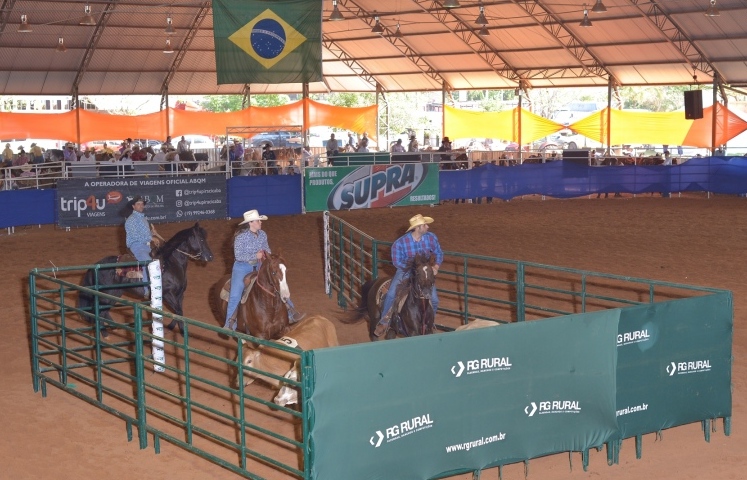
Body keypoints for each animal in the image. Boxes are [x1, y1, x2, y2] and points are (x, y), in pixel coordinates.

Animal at [78, 223, 213, 336]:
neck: (171, 264)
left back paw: (113, 328)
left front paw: (171, 327)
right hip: (106, 294)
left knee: (104, 311)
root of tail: (95, 266)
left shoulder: (180, 294)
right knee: (100, 312)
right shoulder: (168, 294)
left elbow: (178, 312)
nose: (210, 257)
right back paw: (105, 334)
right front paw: (182, 331)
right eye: (201, 239)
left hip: (115, 293)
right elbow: (179, 311)